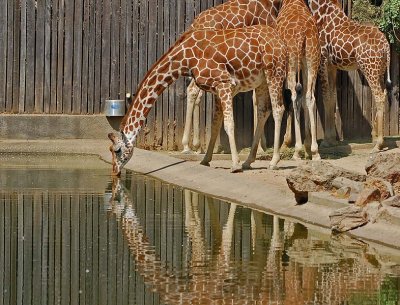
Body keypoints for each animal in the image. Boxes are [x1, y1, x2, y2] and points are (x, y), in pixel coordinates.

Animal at [108, 25, 286, 176]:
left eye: (116, 150)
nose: (115, 171)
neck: (185, 59)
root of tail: (280, 41)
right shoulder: (218, 89)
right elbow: (215, 125)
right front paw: (205, 160)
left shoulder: (225, 83)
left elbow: (229, 124)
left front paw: (234, 165)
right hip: (261, 81)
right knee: (264, 111)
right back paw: (248, 161)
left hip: (274, 72)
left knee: (278, 109)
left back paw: (273, 162)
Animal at [181, 0, 282, 153]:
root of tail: (195, 24)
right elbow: (256, 100)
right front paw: (260, 147)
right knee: (192, 90)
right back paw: (187, 145)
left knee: (196, 93)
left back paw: (197, 146)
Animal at [306, 0, 390, 151]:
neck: (321, 13)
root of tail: (386, 45)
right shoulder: (332, 66)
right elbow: (332, 96)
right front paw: (332, 139)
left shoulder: (323, 60)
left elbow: (326, 96)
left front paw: (326, 140)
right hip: (380, 70)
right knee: (384, 93)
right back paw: (376, 137)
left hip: (370, 68)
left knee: (379, 95)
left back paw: (379, 143)